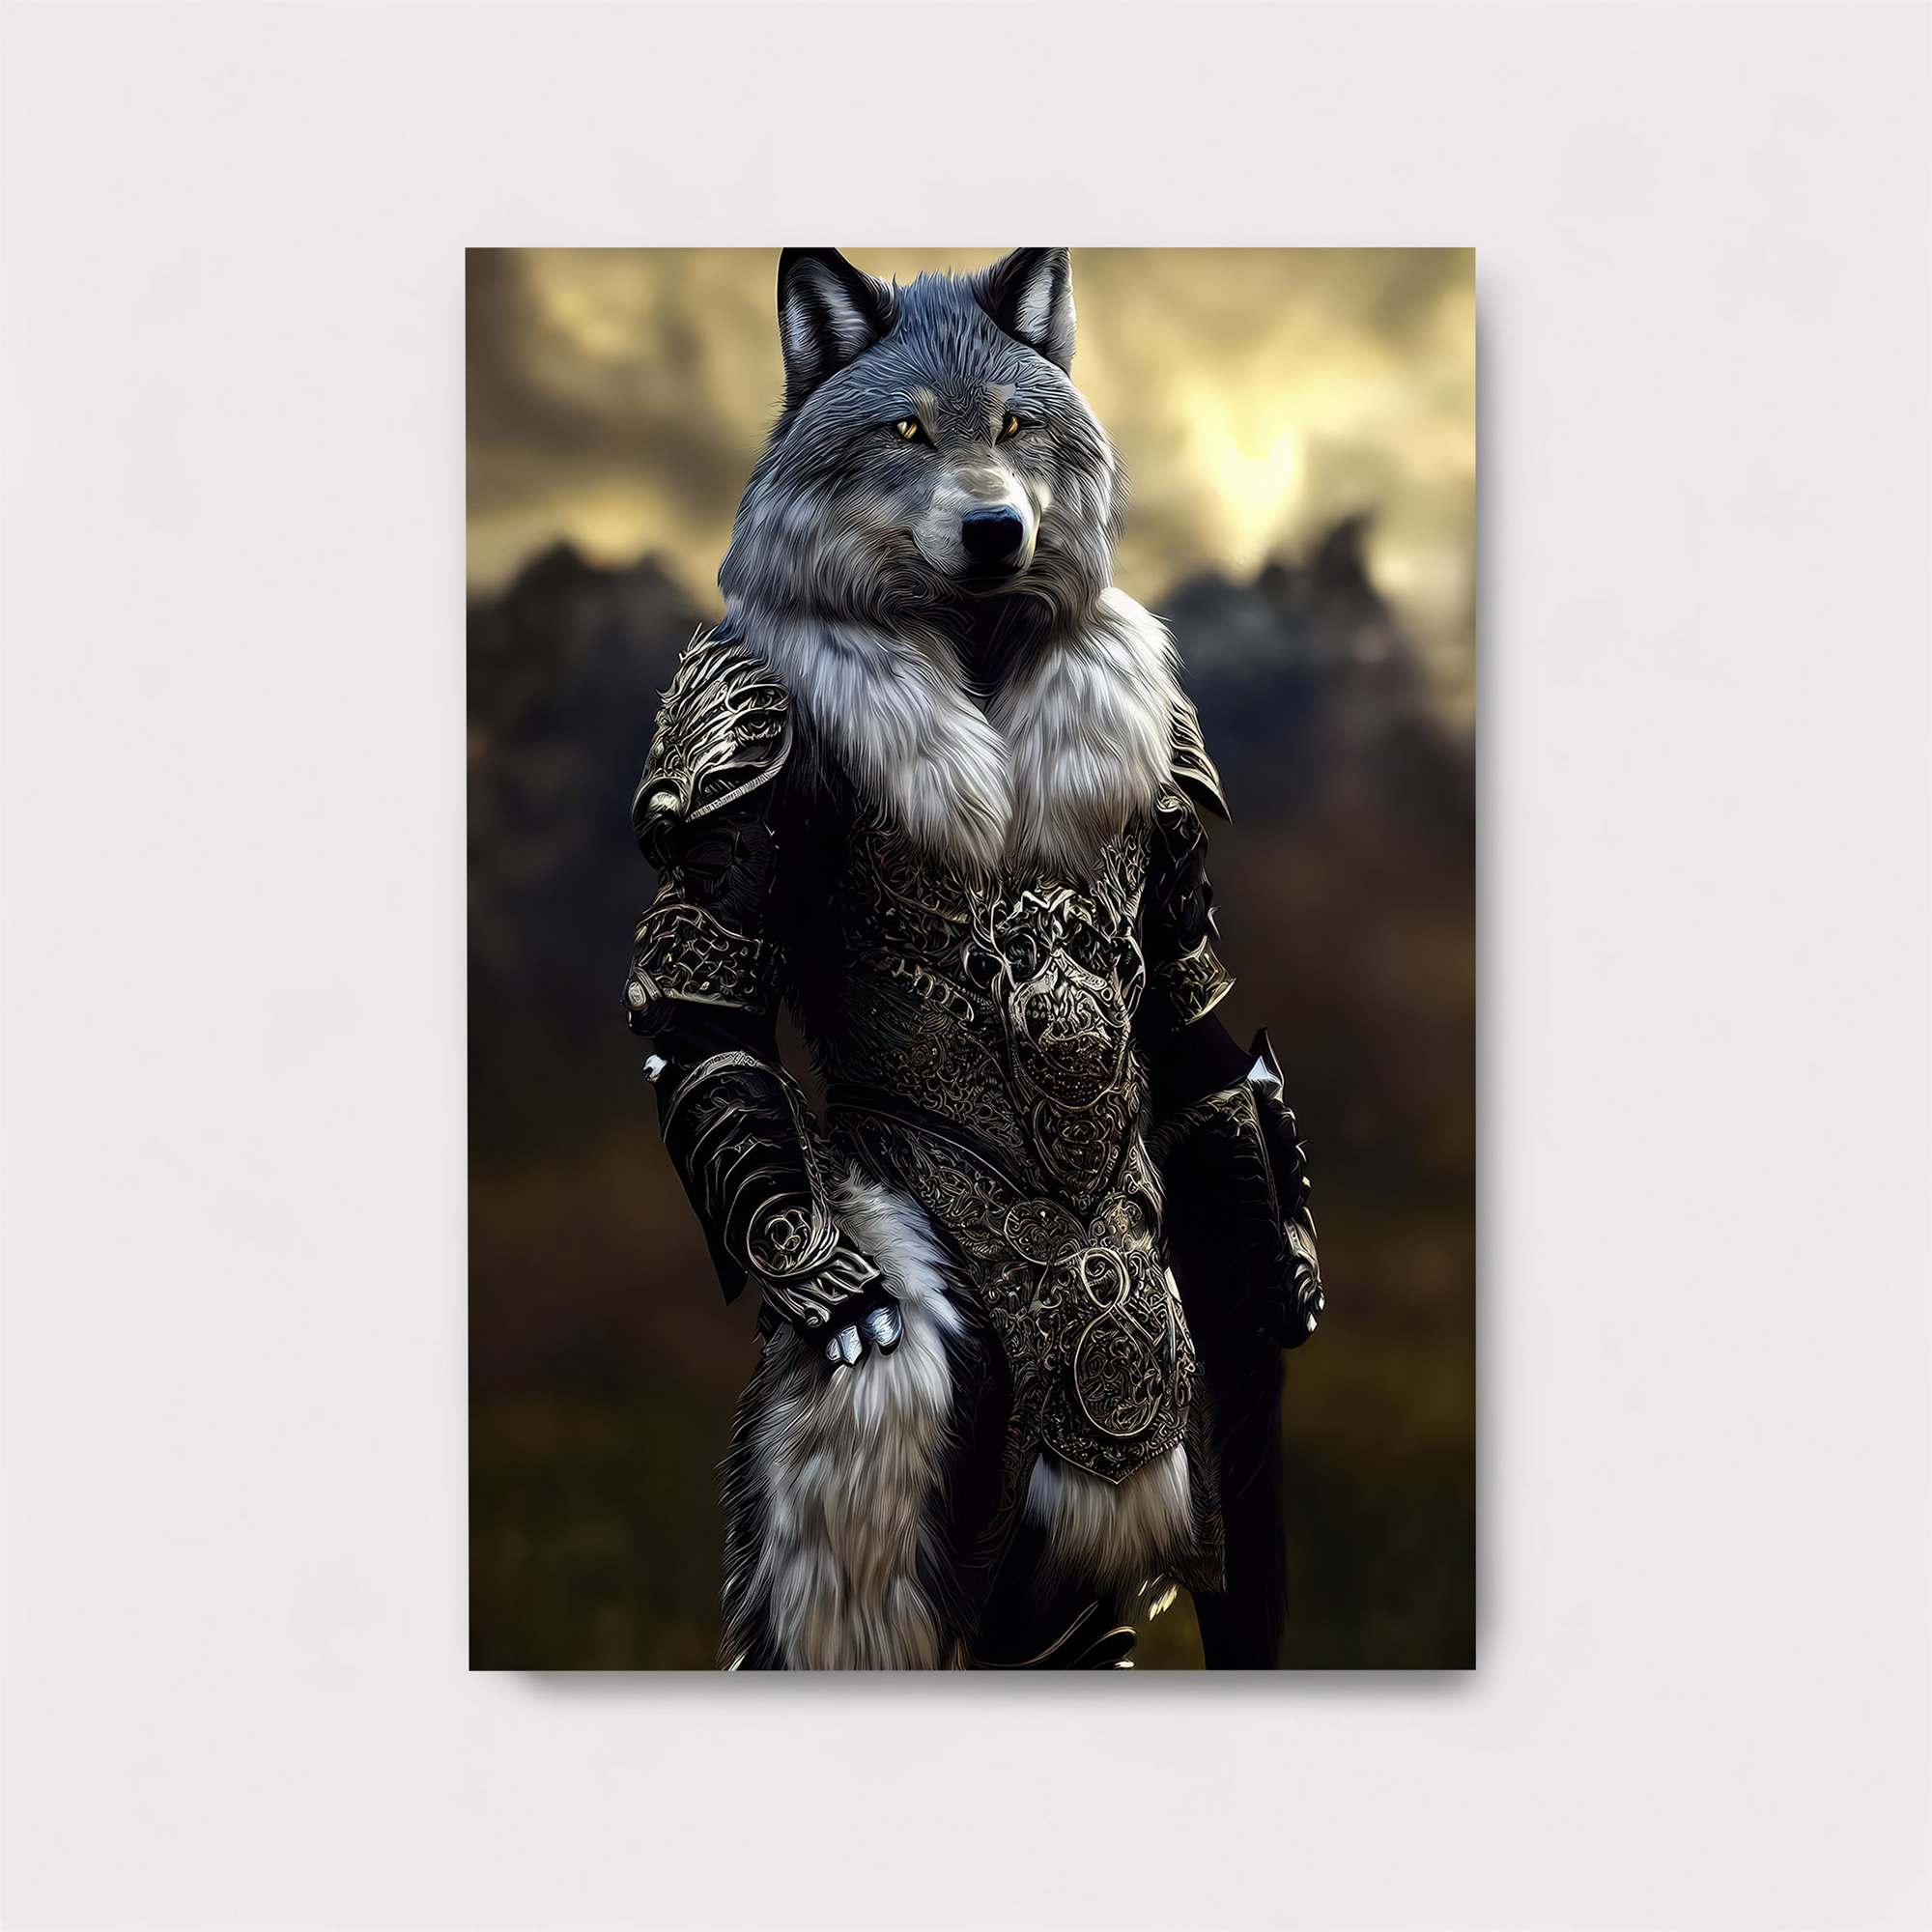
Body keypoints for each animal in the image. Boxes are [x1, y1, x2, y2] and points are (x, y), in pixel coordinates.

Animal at [625, 248, 1324, 1668]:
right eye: (905, 431)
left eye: (1014, 424)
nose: (997, 527)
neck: (978, 651)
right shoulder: (739, 723)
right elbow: (708, 1010)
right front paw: (818, 1276)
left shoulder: (1170, 777)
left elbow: (1194, 1015)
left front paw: (1285, 1253)